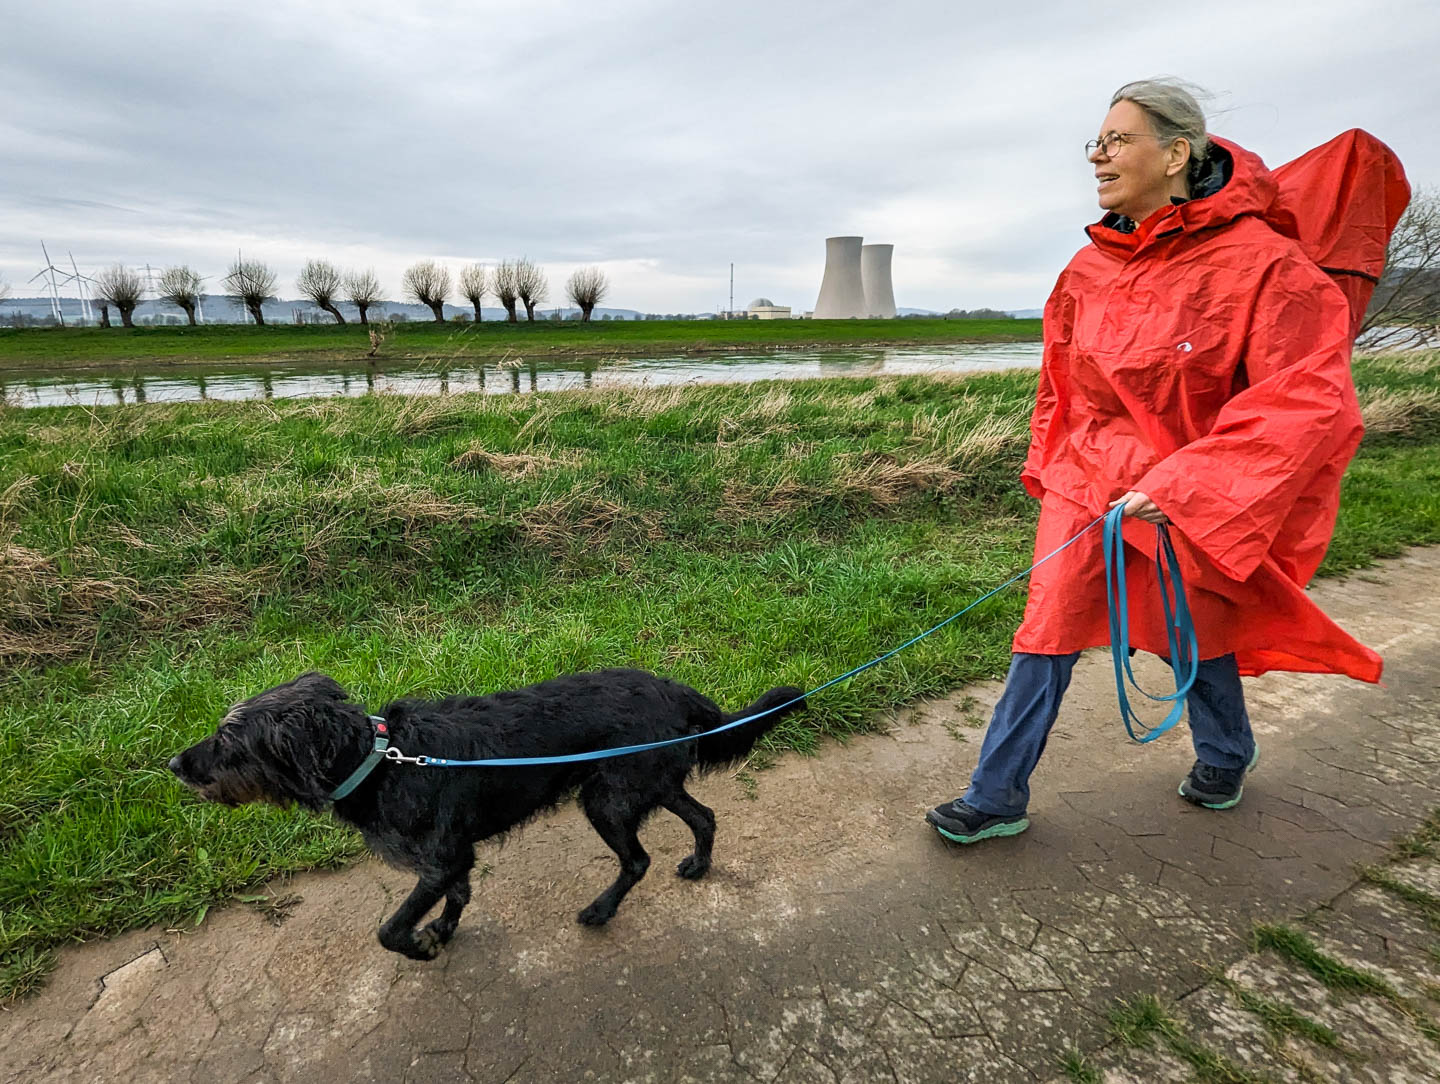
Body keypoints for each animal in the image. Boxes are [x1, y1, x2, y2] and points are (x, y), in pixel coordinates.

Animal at [172, 667, 806, 955]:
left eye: (228, 741)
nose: (176, 764)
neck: (382, 760)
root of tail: (677, 690)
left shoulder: (440, 860)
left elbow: (388, 929)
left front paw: (419, 944)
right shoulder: (453, 860)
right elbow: (457, 897)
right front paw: (442, 931)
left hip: (606, 799)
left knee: (637, 860)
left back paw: (601, 910)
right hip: (648, 783)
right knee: (704, 816)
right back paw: (698, 865)